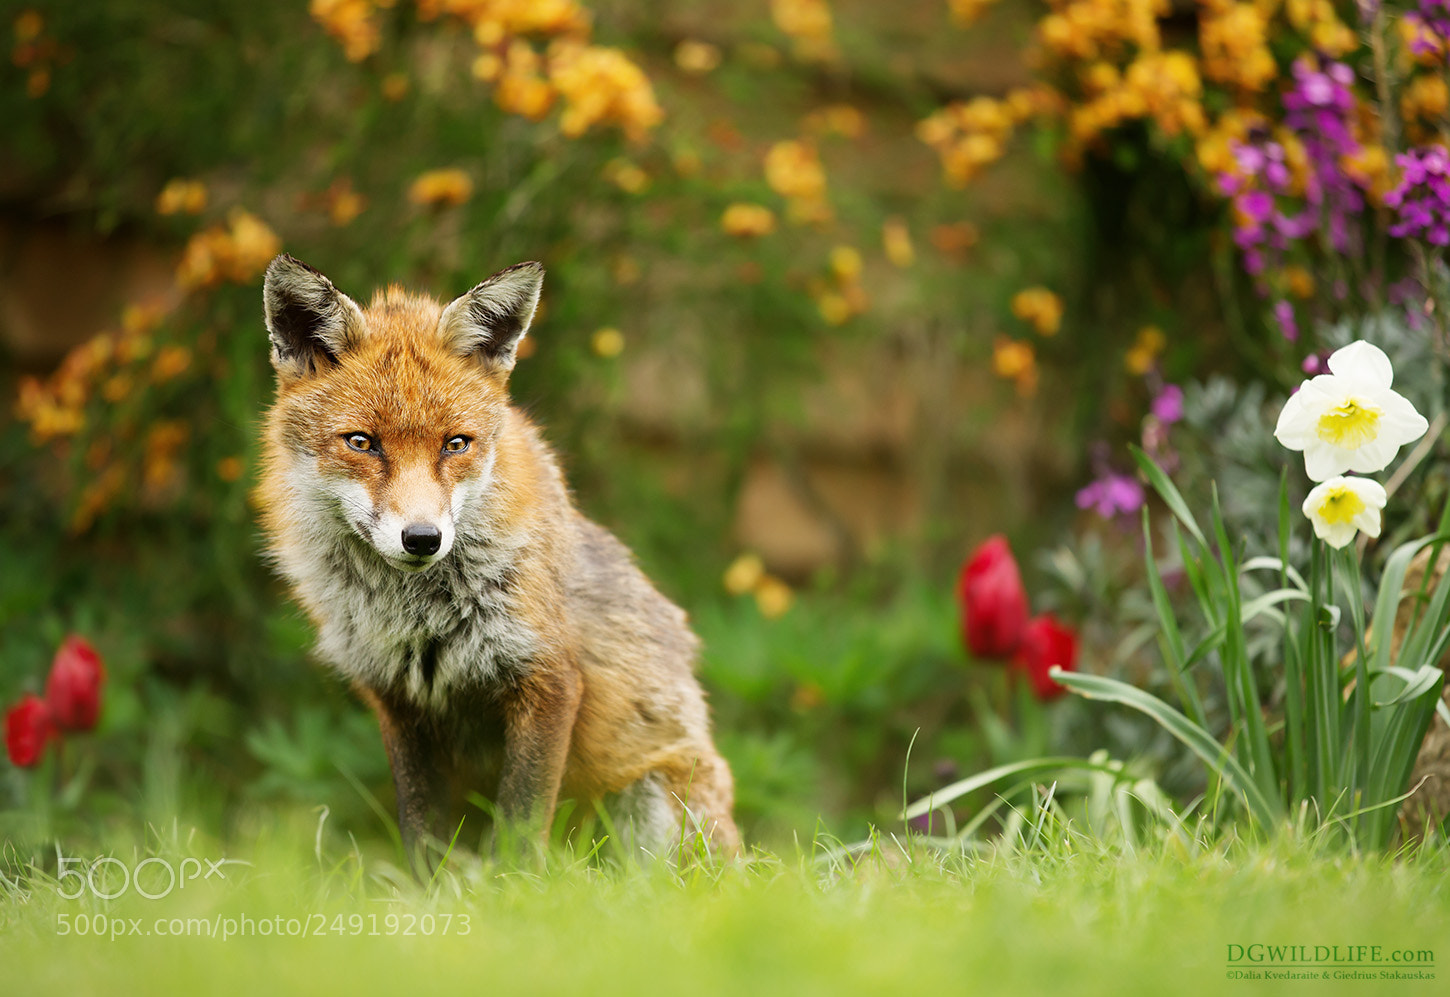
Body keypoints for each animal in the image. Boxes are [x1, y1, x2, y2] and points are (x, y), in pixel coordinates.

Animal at [255, 254, 740, 868]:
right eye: (362, 442)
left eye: (455, 444)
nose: (422, 539)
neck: (416, 616)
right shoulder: (398, 699)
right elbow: (421, 832)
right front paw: (425, 890)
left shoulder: (549, 678)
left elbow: (520, 825)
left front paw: (519, 887)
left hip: (653, 804)